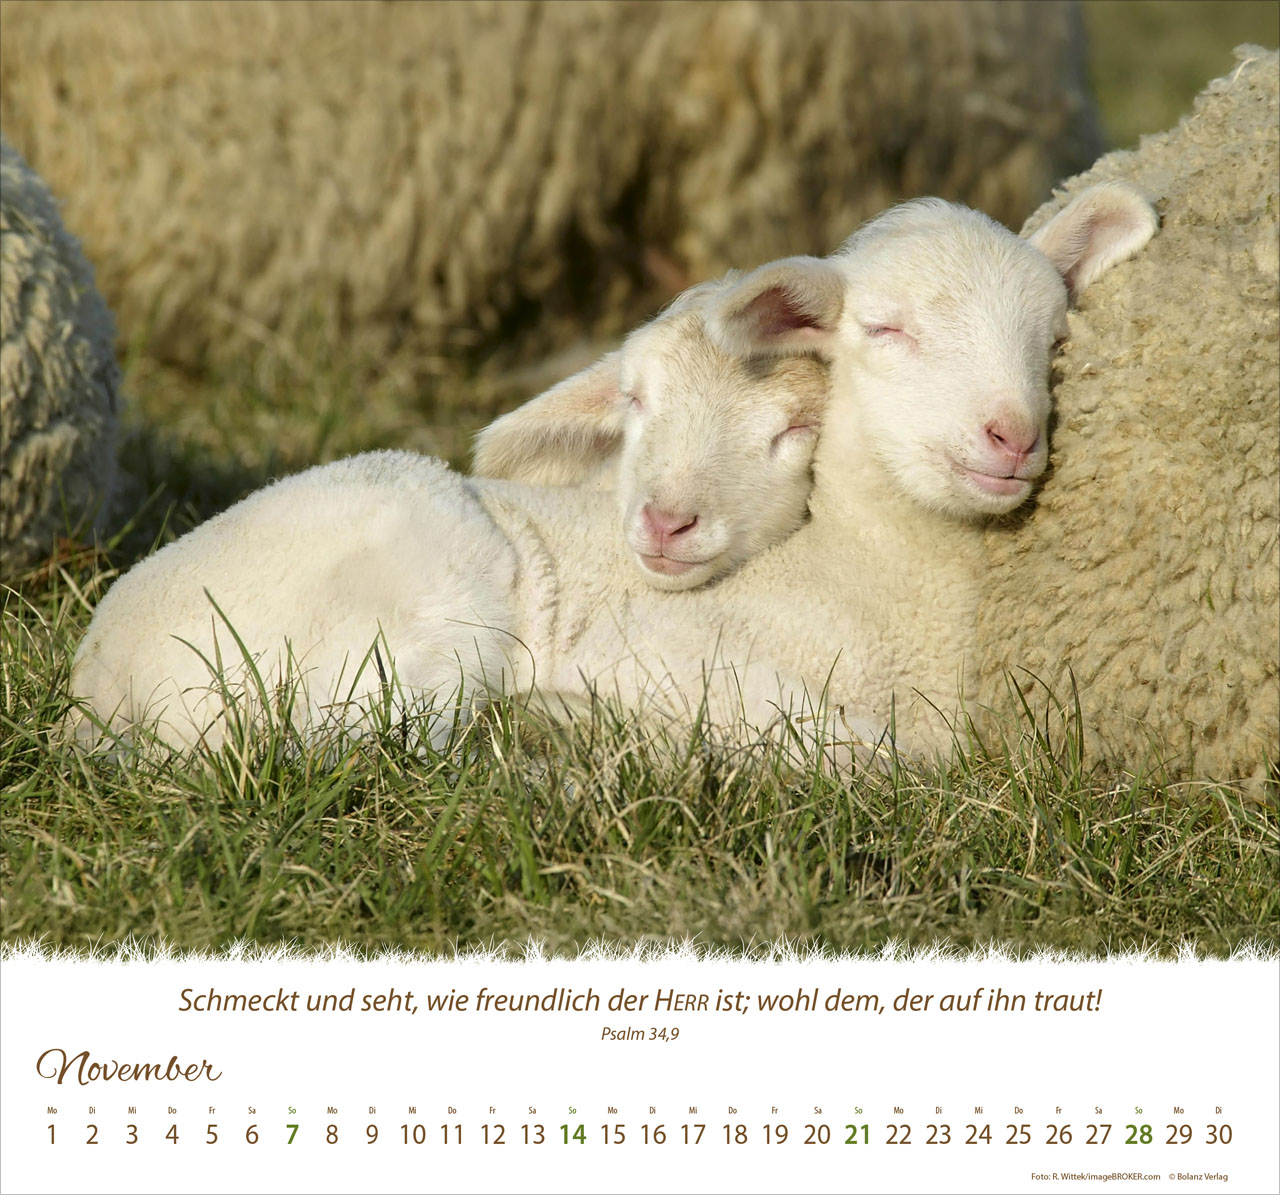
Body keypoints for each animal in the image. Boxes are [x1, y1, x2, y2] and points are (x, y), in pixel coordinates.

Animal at [69, 184, 1155, 761]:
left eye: (1053, 343)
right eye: (885, 331)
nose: (1011, 435)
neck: (873, 579)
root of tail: (103, 691)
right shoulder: (665, 654)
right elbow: (871, 754)